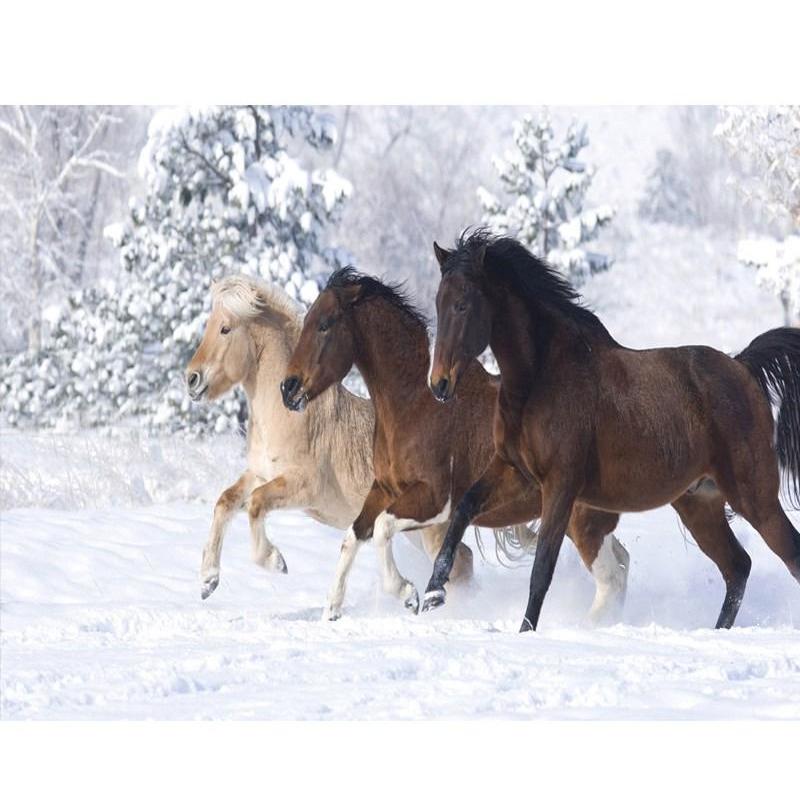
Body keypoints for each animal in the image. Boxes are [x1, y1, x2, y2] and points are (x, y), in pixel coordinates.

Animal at [281, 267, 631, 622]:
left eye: (325, 324)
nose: (288, 388)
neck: (415, 403)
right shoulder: (384, 489)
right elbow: (353, 536)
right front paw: (332, 610)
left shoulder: (435, 500)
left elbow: (381, 529)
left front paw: (409, 594)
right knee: (621, 563)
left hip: (581, 521)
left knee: (611, 578)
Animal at [423, 230, 800, 633]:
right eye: (438, 303)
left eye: (463, 305)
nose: (439, 384)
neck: (541, 378)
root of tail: (742, 367)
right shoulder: (514, 472)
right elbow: (463, 509)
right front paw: (433, 593)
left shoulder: (561, 485)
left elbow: (542, 569)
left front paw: (525, 631)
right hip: (700, 503)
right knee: (737, 567)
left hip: (753, 496)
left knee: (786, 555)